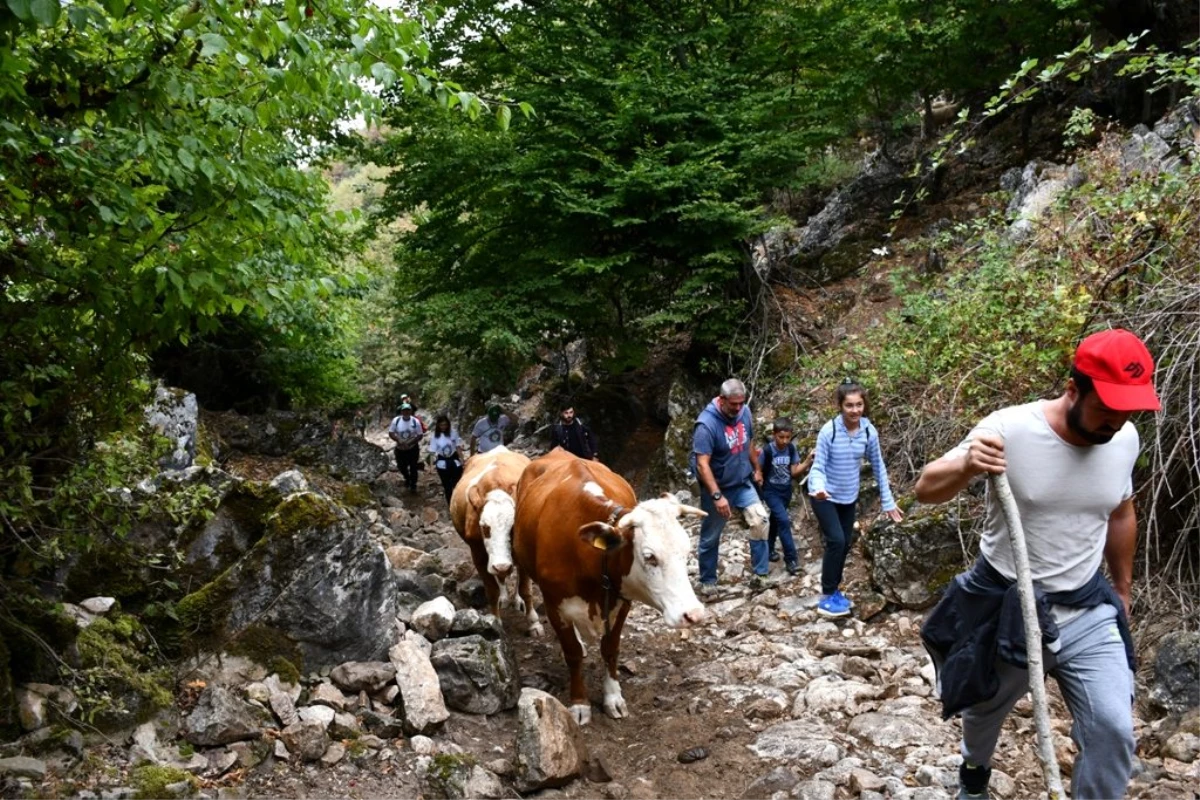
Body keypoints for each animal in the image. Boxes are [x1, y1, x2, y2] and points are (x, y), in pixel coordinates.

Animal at [448, 448, 528, 618]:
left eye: (513, 527)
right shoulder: (478, 555)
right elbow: (492, 591)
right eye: (484, 527)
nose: (502, 566)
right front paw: (496, 621)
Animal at [513, 450, 700, 724]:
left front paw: (613, 698)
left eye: (687, 551)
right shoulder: (553, 603)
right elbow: (572, 653)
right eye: (650, 556)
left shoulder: (621, 603)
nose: (694, 614)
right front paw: (580, 703)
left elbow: (610, 650)